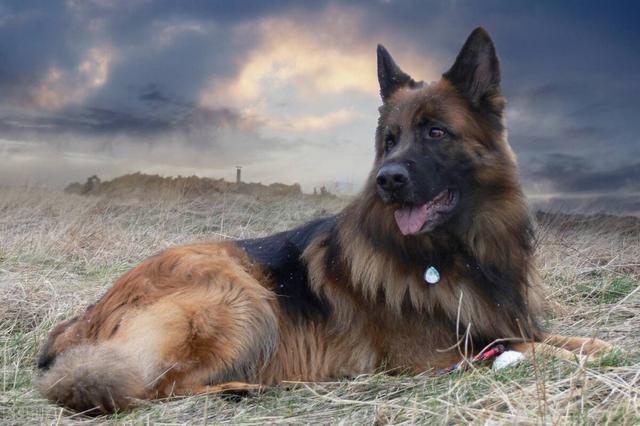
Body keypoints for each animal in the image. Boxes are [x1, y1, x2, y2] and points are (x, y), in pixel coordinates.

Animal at [37, 26, 612, 412]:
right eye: (390, 140)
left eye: (435, 132)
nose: (387, 180)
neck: (457, 253)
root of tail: (83, 319)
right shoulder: (437, 355)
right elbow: (533, 350)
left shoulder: (501, 323)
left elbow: (557, 340)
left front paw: (596, 345)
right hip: (239, 296)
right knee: (156, 386)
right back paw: (244, 387)